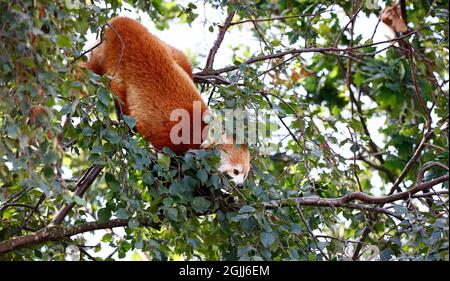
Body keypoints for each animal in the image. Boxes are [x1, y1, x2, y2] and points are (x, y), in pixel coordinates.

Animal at [81, 16, 250, 185]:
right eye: (236, 171)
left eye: (245, 174)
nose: (241, 185)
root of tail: (120, 21)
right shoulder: (170, 136)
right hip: (114, 67)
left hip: (164, 46)